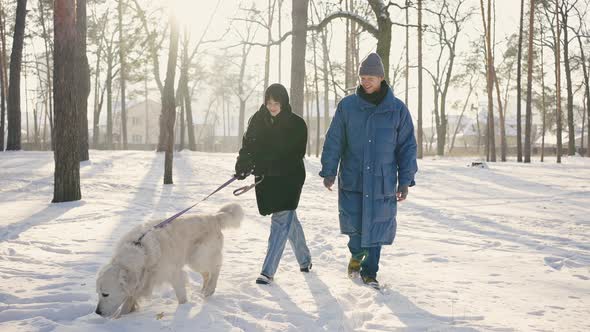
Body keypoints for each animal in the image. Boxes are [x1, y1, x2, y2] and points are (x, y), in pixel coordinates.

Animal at [95, 204, 243, 318]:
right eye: (98, 293)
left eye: (105, 294)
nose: (97, 312)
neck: (142, 252)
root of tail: (213, 217)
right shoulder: (140, 283)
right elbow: (128, 302)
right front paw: (120, 318)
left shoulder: (174, 274)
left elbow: (181, 296)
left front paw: (183, 309)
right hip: (194, 261)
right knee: (207, 273)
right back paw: (203, 290)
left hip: (199, 256)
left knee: (216, 267)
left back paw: (210, 289)